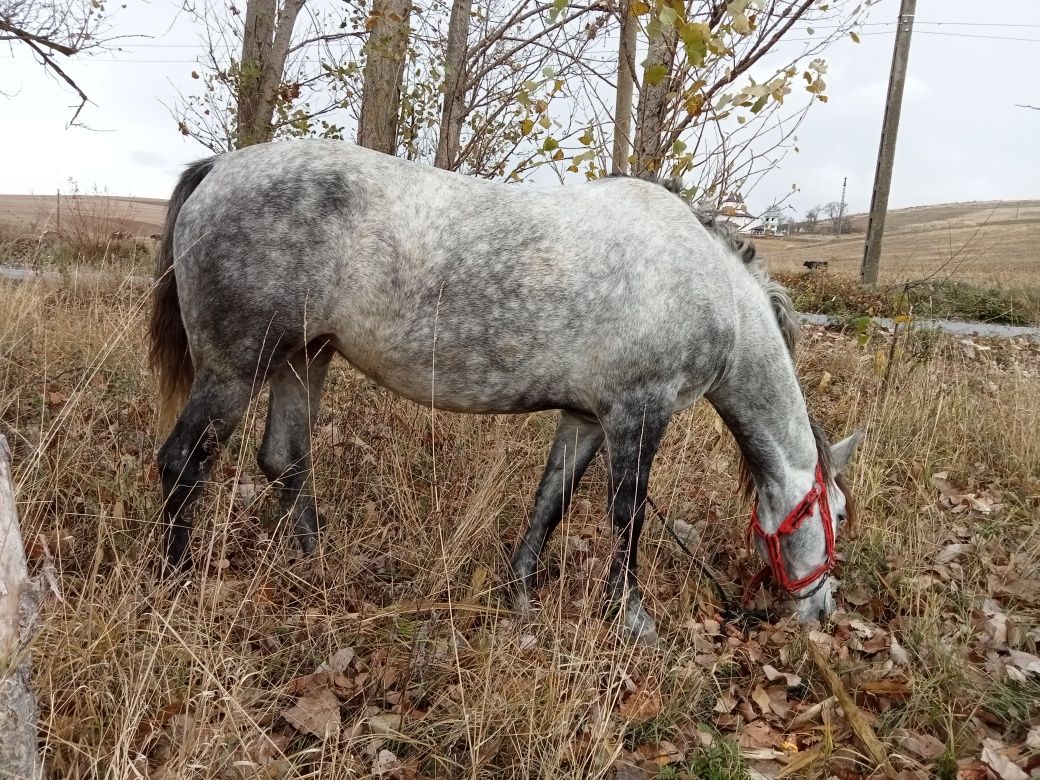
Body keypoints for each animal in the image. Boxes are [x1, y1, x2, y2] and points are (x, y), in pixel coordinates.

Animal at [148, 140, 861, 640]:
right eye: (835, 513)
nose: (822, 612)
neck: (713, 293)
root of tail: (219, 167)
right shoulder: (639, 414)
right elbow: (626, 516)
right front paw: (629, 618)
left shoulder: (585, 418)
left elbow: (552, 501)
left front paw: (519, 594)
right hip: (236, 369)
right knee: (184, 460)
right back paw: (177, 583)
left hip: (304, 357)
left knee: (284, 458)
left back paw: (316, 566)